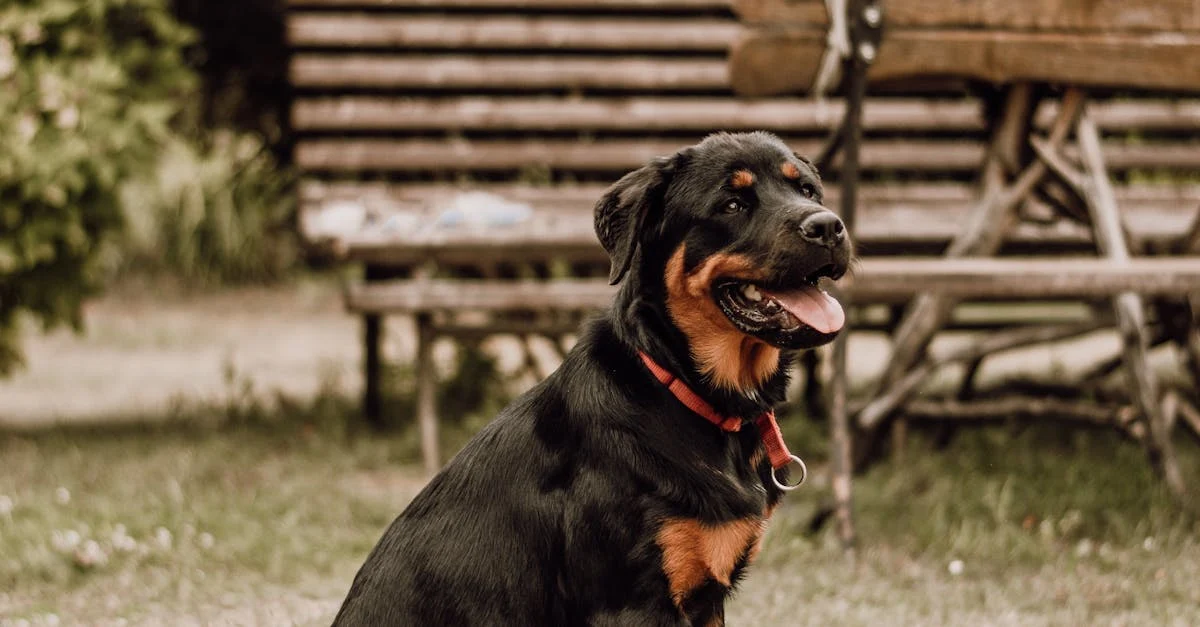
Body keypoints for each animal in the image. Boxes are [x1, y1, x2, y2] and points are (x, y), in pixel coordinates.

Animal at [333, 131, 849, 624]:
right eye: (733, 204)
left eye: (806, 189)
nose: (828, 226)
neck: (679, 386)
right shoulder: (631, 600)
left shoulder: (705, 599)